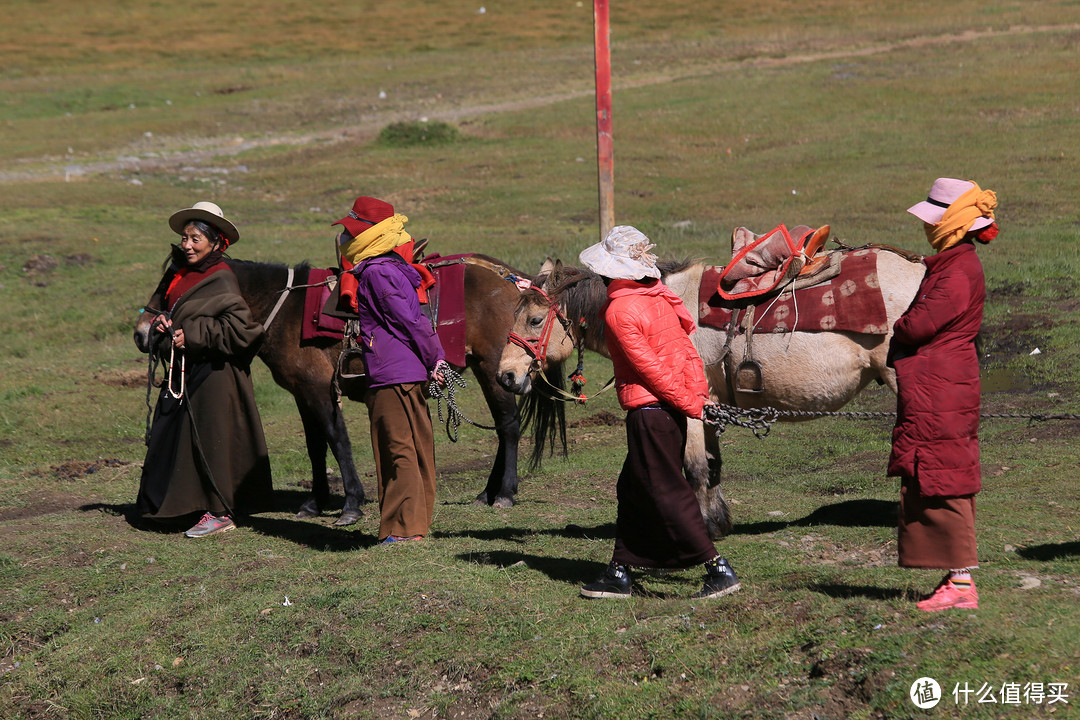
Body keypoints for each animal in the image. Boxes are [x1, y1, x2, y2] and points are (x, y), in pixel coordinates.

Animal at [135, 255, 565, 526]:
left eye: (176, 285)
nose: (142, 333)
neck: (286, 311)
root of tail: (518, 282)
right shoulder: (301, 392)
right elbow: (315, 446)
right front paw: (314, 503)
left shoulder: (318, 390)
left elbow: (337, 440)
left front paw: (351, 504)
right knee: (504, 428)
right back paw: (487, 493)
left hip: (497, 369)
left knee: (509, 426)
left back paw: (504, 493)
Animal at [494, 250, 924, 537]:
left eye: (535, 319)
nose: (506, 377)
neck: (655, 313)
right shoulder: (711, 406)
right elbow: (714, 466)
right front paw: (718, 522)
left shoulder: (690, 403)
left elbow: (695, 466)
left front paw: (702, 526)